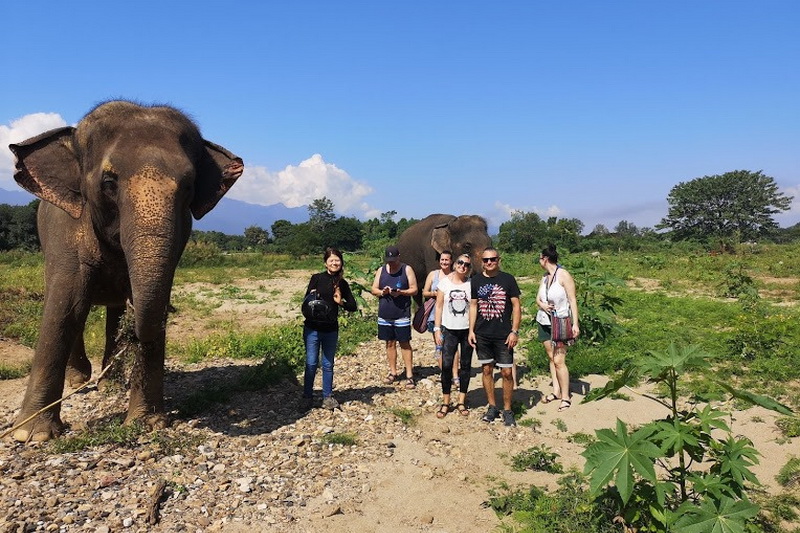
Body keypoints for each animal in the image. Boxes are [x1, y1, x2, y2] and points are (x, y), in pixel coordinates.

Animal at [8, 100, 244, 440]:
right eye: (109, 183)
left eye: (189, 185)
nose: (134, 333)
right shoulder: (65, 232)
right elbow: (66, 306)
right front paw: (32, 435)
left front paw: (146, 423)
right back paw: (80, 381)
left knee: (114, 312)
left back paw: (109, 384)